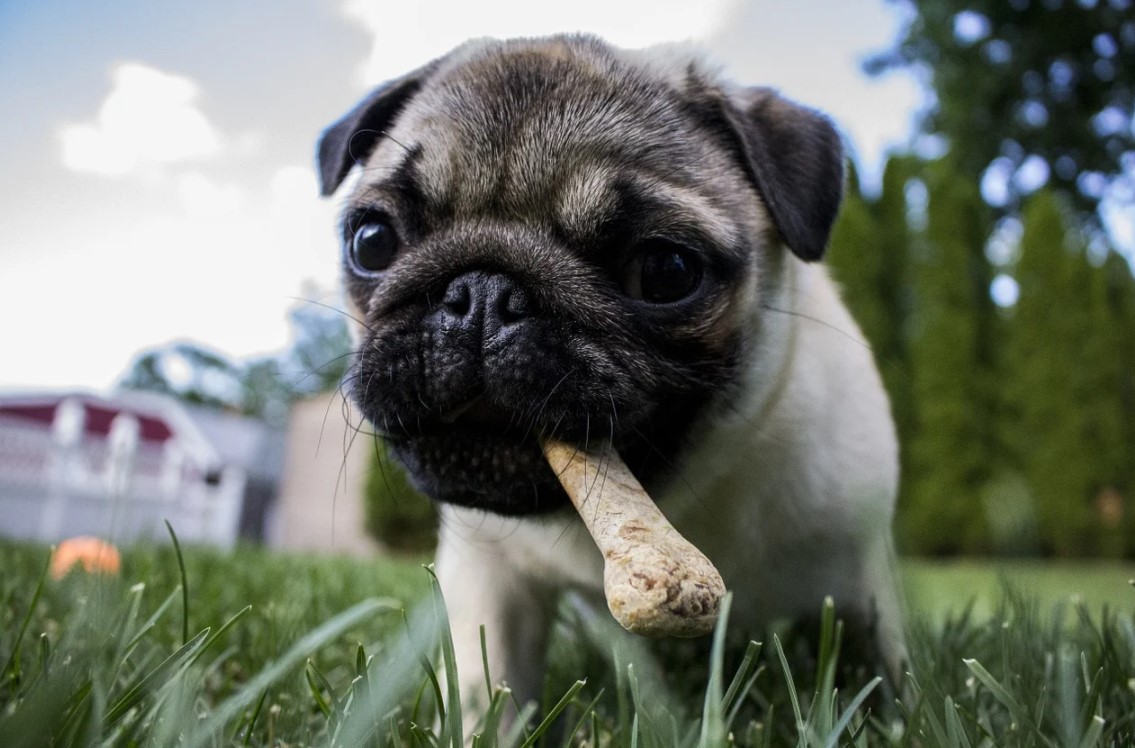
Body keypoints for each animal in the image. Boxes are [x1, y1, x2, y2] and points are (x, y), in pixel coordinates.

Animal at [317, 33, 903, 712]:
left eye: (666, 271)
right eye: (372, 241)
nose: (482, 295)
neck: (677, 495)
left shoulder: (863, 576)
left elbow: (888, 672)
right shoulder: (490, 576)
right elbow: (485, 690)